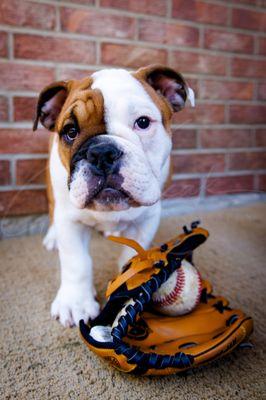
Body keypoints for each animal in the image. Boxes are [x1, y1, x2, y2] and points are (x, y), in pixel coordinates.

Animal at [33, 64, 194, 326]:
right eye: (70, 131)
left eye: (142, 122)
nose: (102, 152)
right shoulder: (69, 220)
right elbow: (77, 262)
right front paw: (76, 303)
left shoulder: (147, 219)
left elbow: (132, 254)